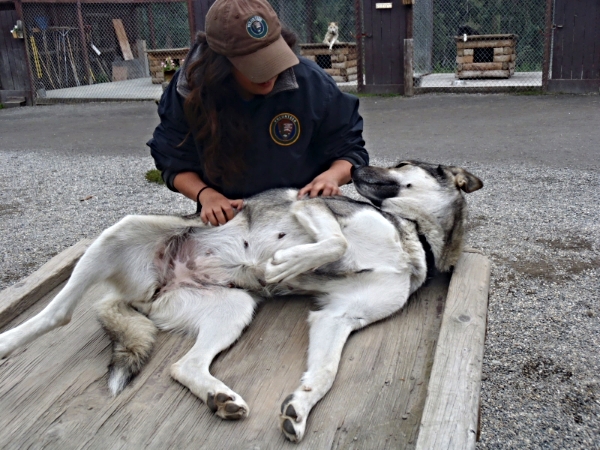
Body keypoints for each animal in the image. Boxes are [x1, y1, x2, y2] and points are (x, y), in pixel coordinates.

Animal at [0, 162, 482, 442]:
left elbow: (325, 374)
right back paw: (9, 341)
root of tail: (139, 294)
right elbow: (335, 241)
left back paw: (219, 397)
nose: (357, 163)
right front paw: (286, 263)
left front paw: (300, 408)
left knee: (183, 366)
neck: (412, 236)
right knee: (58, 313)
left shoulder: (337, 317)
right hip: (121, 230)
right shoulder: (315, 207)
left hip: (234, 310)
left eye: (400, 165)